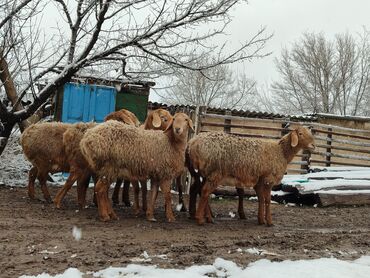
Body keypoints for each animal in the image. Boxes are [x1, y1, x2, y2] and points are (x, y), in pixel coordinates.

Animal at [188, 126, 316, 226]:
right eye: (300, 133)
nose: (313, 145)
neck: (281, 152)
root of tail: (193, 143)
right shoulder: (269, 179)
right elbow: (267, 200)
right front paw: (269, 221)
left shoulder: (259, 181)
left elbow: (261, 198)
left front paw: (261, 220)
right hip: (215, 172)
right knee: (205, 191)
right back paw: (200, 219)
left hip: (205, 173)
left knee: (200, 190)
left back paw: (203, 216)